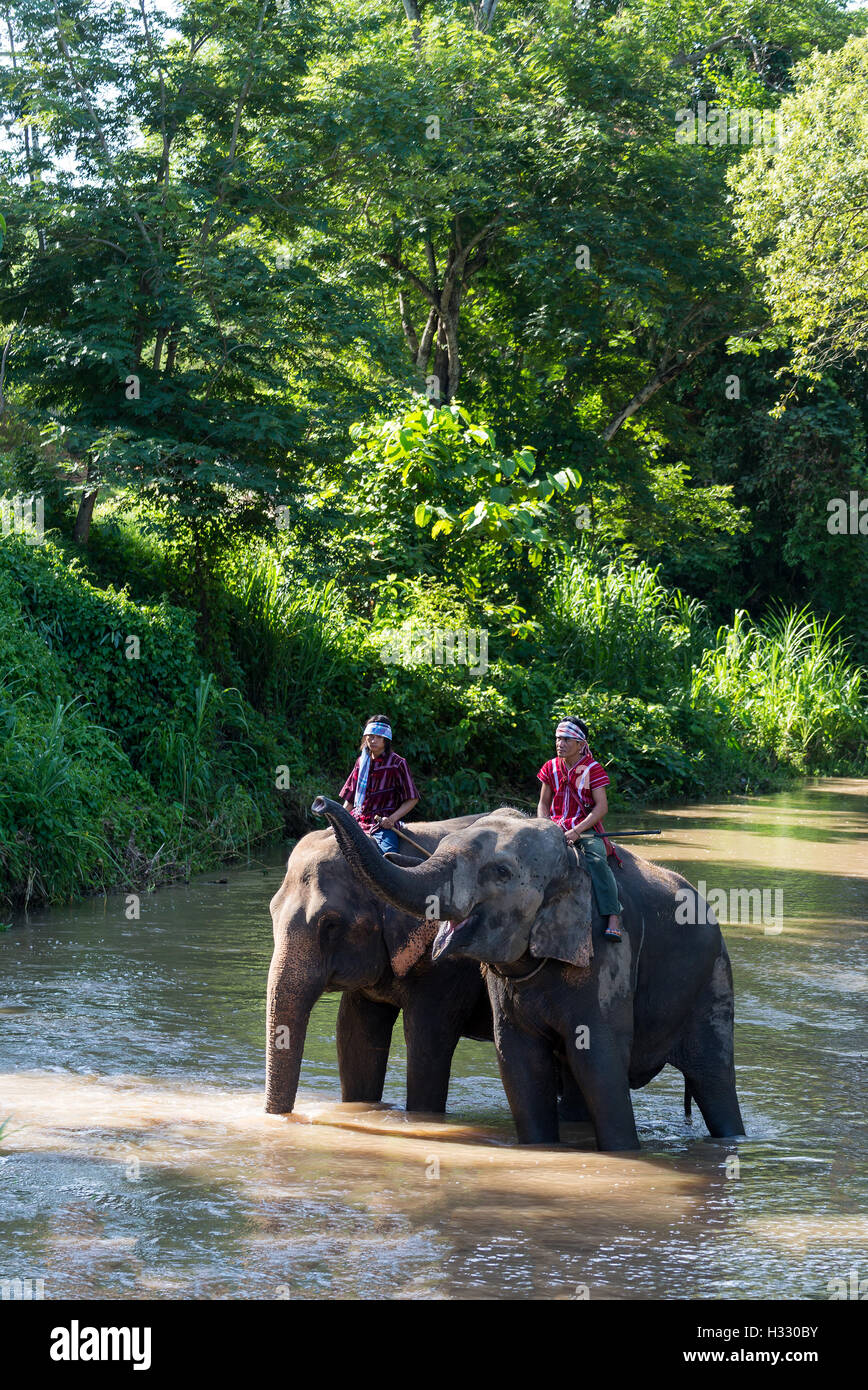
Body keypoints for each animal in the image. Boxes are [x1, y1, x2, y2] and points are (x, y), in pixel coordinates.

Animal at [264, 806, 495, 1117]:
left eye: (331, 924)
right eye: (272, 912)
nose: (319, 804)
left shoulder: (449, 966)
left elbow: (428, 1042)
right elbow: (354, 1037)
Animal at [318, 795, 745, 1150]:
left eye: (501, 872)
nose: (321, 803)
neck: (571, 864)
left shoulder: (607, 953)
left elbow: (601, 1059)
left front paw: (625, 1154)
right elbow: (519, 1060)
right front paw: (543, 1148)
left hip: (713, 978)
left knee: (714, 1078)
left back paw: (732, 1139)